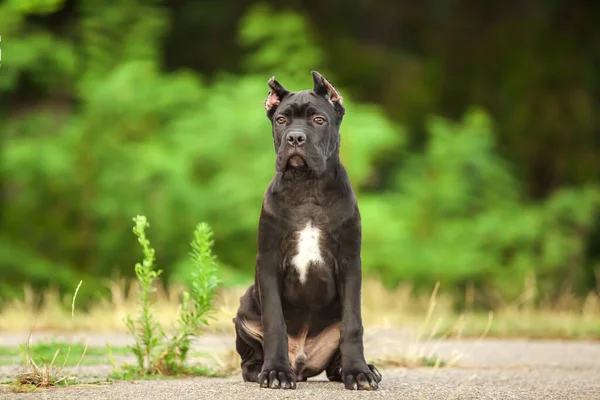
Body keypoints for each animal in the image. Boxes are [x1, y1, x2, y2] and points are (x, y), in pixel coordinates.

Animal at [232, 70, 382, 390]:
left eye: (318, 120)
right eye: (281, 120)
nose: (295, 138)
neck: (307, 187)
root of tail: (301, 361)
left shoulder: (350, 261)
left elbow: (353, 323)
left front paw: (358, 372)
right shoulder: (268, 261)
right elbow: (274, 320)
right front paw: (276, 372)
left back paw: (358, 369)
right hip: (246, 306)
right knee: (249, 360)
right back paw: (264, 369)